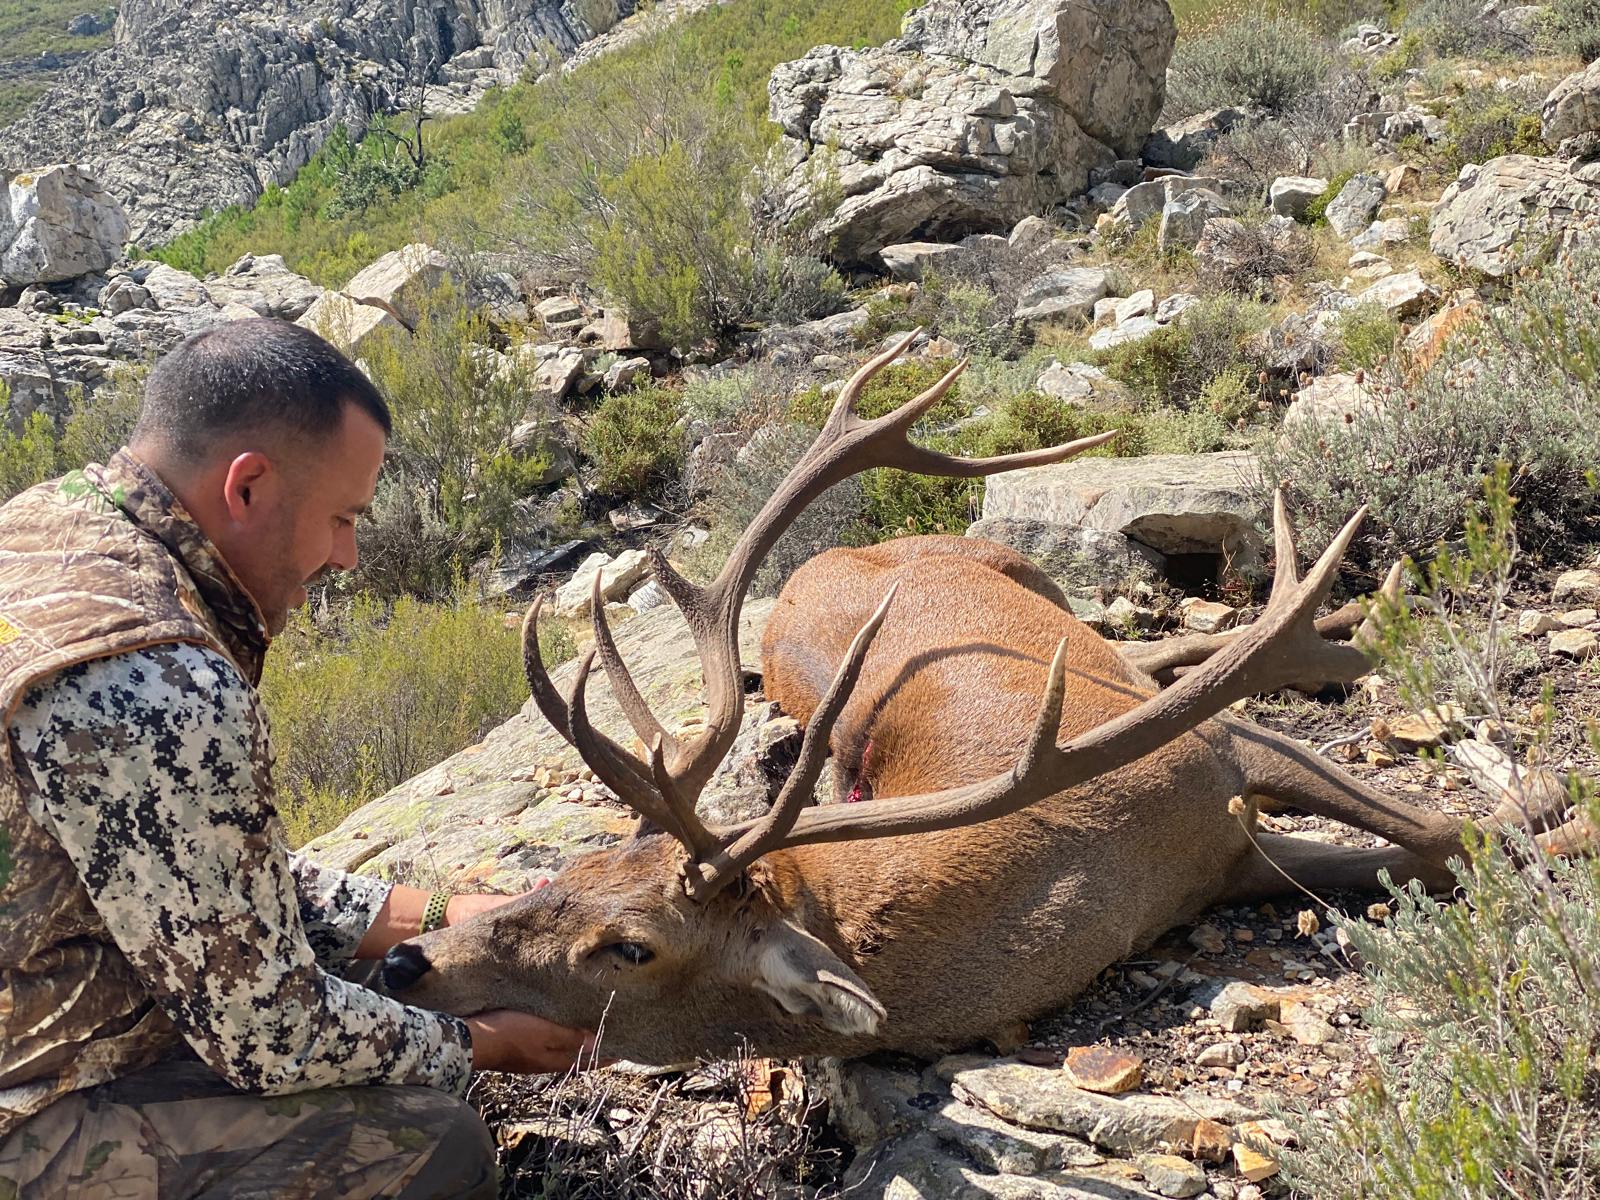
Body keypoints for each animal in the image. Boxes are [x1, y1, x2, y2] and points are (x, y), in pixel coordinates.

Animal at [380, 330, 1568, 1064]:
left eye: (630, 946)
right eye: (570, 870)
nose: (404, 956)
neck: (1088, 863)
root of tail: (813, 569)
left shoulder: (1225, 749)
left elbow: (1444, 831)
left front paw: (1551, 802)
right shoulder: (1225, 856)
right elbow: (1432, 848)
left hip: (1022, 571)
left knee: (1175, 645)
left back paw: (1345, 627)